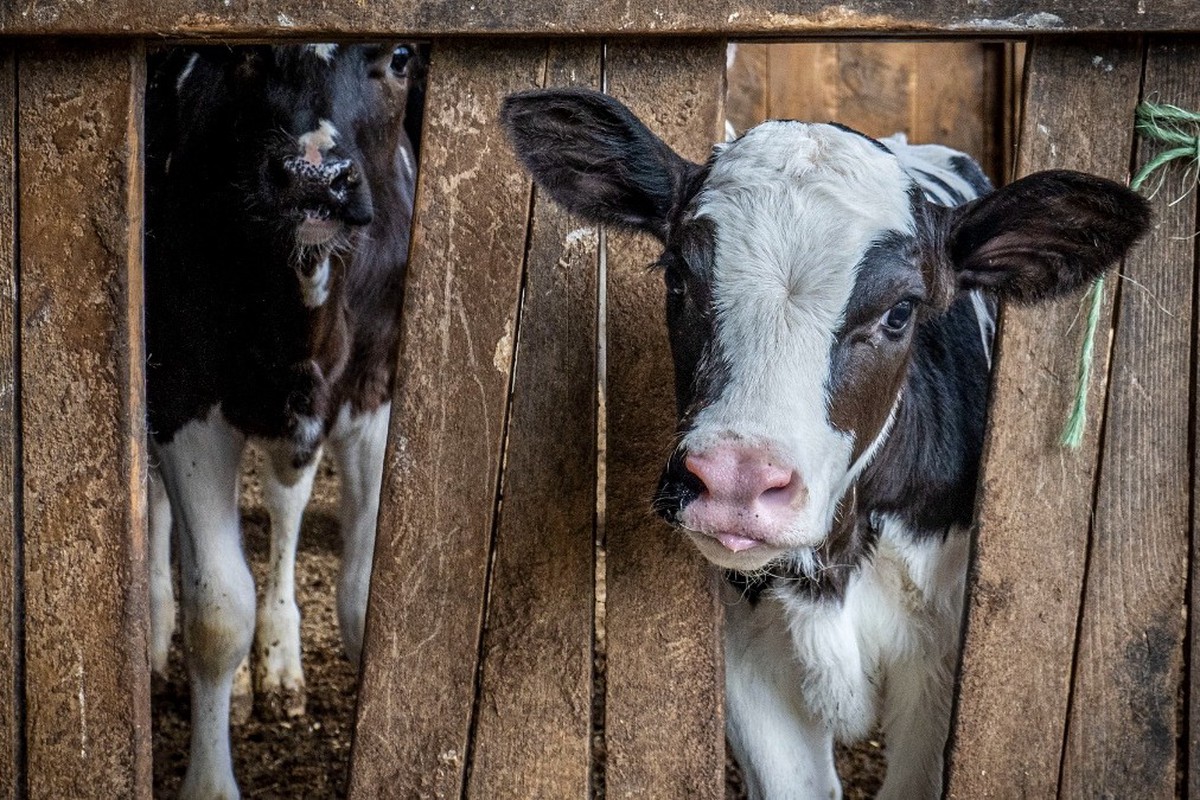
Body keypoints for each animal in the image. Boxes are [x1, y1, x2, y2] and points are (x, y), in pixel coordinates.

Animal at [144, 42, 419, 799]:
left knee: (285, 502)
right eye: (243, 52)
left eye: (400, 57)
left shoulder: (377, 395)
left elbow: (362, 601)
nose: (313, 175)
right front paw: (209, 782)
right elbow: (216, 613)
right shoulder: (182, 397)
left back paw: (279, 662)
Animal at [501, 88, 1149, 799]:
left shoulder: (940, 660)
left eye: (900, 311)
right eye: (676, 276)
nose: (734, 480)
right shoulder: (750, 656)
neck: (832, 570)